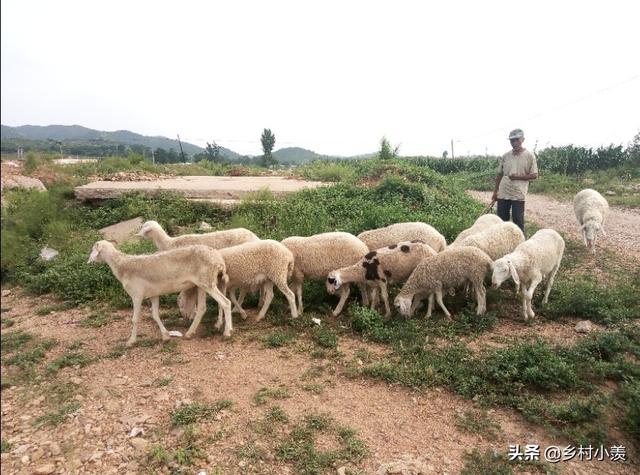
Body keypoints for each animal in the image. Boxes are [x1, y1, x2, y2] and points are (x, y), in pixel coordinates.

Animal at [86, 242, 231, 346]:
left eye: (93, 249)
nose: (88, 262)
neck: (122, 266)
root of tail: (218, 259)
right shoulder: (153, 295)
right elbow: (155, 315)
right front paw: (166, 336)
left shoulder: (136, 296)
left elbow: (135, 319)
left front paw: (131, 341)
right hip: (201, 285)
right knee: (202, 308)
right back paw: (190, 333)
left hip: (207, 283)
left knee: (226, 303)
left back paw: (227, 332)